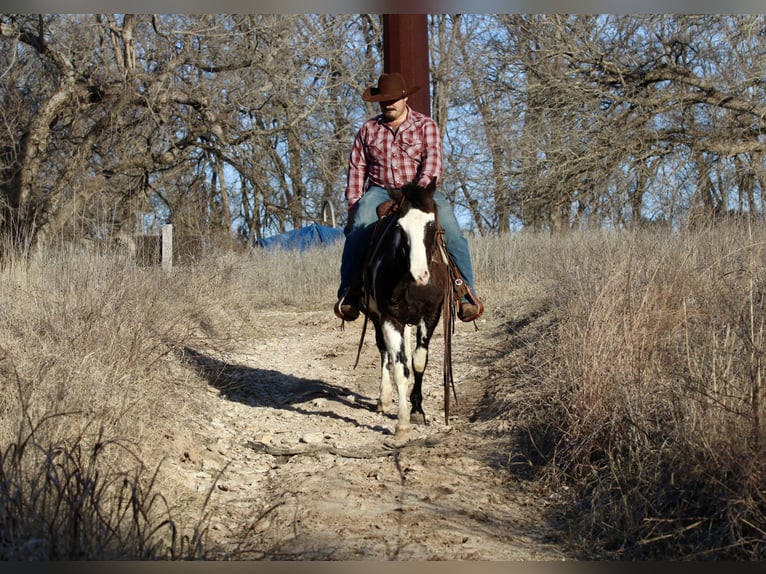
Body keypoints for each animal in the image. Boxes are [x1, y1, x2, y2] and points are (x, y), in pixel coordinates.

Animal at [362, 178, 456, 438]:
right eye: (399, 228)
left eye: (431, 223)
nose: (420, 274)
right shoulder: (389, 317)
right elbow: (400, 367)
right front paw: (402, 423)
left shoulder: (431, 314)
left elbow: (418, 361)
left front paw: (417, 410)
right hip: (377, 318)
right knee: (385, 352)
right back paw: (384, 399)